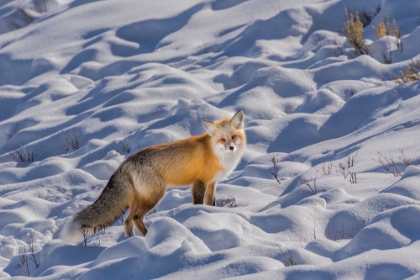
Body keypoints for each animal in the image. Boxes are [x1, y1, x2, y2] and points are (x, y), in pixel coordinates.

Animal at [62, 110, 246, 242]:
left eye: (233, 137)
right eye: (222, 139)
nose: (231, 148)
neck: (215, 153)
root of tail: (126, 162)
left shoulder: (212, 183)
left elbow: (210, 204)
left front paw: (212, 214)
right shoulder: (199, 182)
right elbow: (198, 203)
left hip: (138, 199)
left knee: (127, 221)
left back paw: (130, 243)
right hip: (154, 196)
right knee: (136, 218)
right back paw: (149, 237)